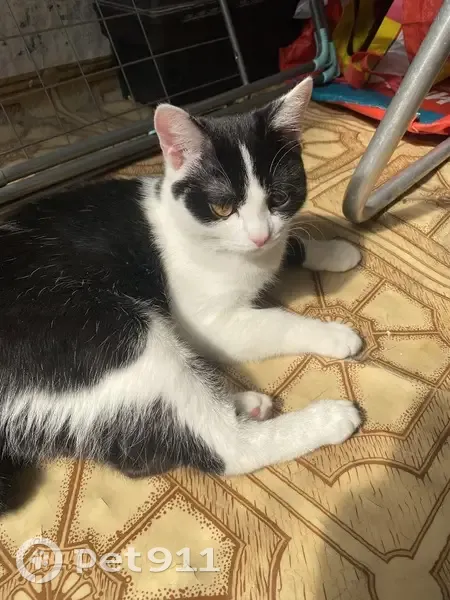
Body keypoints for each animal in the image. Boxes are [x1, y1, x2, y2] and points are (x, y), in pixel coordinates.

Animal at [0, 77, 363, 510]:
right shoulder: (209, 325)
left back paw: (242, 402)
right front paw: (334, 333)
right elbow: (276, 321)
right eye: (222, 207)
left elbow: (287, 243)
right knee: (223, 447)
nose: (259, 235)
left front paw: (334, 250)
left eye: (279, 198)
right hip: (110, 333)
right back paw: (325, 418)